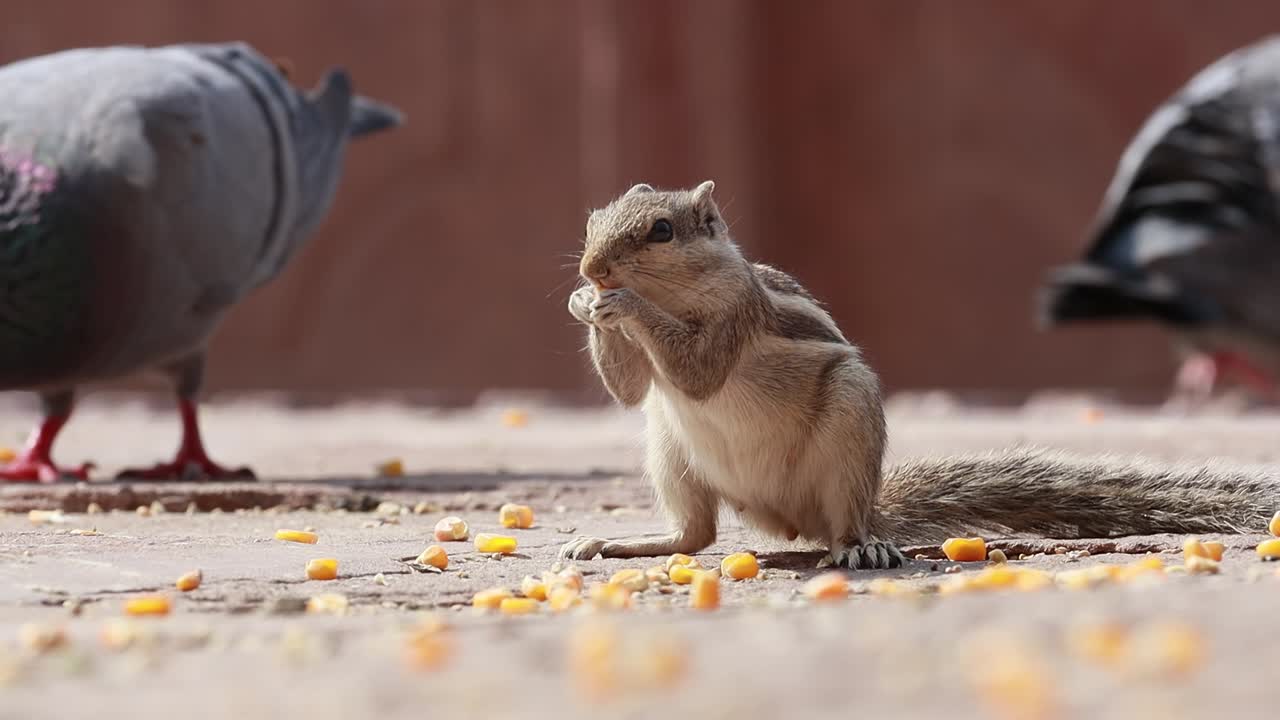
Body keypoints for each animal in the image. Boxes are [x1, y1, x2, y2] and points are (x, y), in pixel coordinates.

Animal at [560, 180, 1279, 569]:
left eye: (661, 231)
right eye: (593, 219)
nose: (593, 268)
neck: (688, 289)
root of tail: (786, 518)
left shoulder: (738, 315)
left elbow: (698, 371)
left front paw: (621, 304)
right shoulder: (646, 390)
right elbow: (631, 390)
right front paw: (584, 304)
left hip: (849, 428)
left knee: (840, 526)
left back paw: (860, 549)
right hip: (668, 449)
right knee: (696, 534)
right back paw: (628, 545)